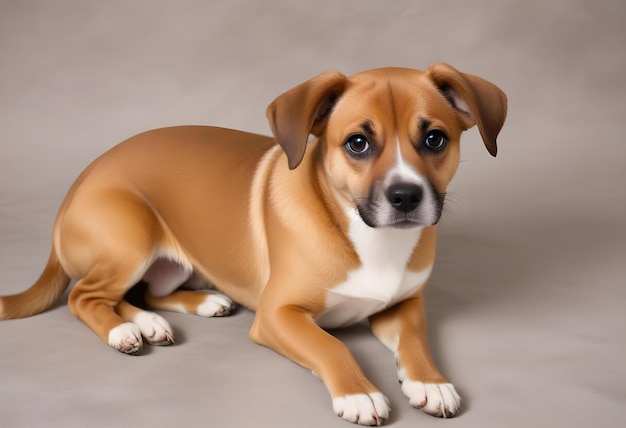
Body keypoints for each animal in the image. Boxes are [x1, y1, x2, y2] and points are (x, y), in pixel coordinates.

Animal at [0, 62, 504, 424]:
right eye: (357, 143)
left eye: (435, 139)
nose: (405, 197)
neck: (367, 237)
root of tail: (75, 188)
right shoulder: (278, 315)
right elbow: (330, 345)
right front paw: (359, 392)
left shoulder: (404, 305)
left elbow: (416, 341)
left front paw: (430, 382)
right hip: (131, 236)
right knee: (86, 297)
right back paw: (124, 330)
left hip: (168, 263)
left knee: (144, 293)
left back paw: (170, 315)